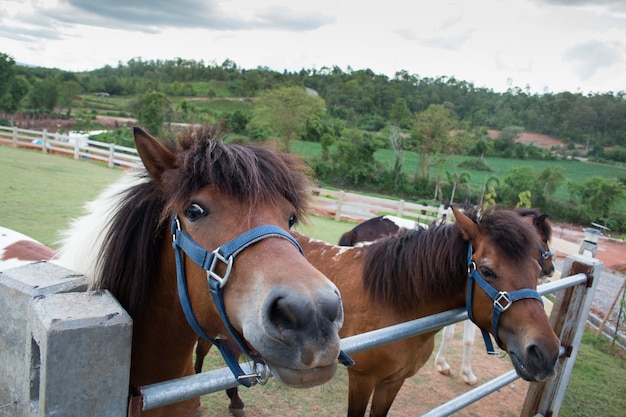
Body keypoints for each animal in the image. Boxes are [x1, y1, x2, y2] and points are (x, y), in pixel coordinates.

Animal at [195, 206, 556, 414]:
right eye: (488, 271)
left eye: (536, 266)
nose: (546, 353)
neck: (395, 301)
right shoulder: (363, 380)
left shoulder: (391, 383)